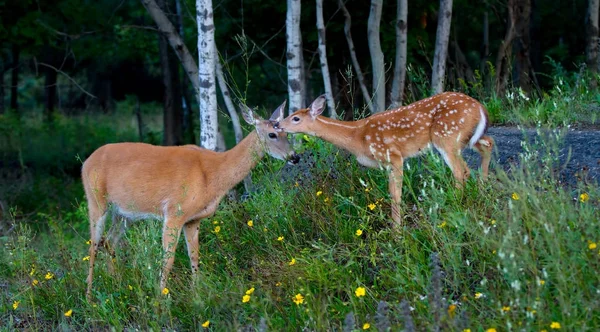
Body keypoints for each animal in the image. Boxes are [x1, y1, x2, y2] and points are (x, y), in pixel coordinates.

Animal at [82, 100, 298, 298]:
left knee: (109, 242)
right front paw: (161, 300)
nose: (295, 157)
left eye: (287, 133)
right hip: (96, 199)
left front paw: (197, 295)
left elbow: (194, 257)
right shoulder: (174, 212)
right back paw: (90, 296)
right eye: (272, 134)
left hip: (124, 213)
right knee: (93, 246)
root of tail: (85, 162)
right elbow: (168, 259)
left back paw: (115, 284)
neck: (212, 175)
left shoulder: (193, 219)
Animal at [276, 92, 492, 224]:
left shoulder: (393, 155)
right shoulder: (386, 163)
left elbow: (395, 194)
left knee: (460, 171)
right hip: (465, 137)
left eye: (295, 118)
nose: (277, 124)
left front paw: (397, 233)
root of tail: (479, 106)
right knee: (486, 145)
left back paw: (455, 204)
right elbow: (391, 193)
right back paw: (481, 190)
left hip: (446, 136)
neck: (357, 137)